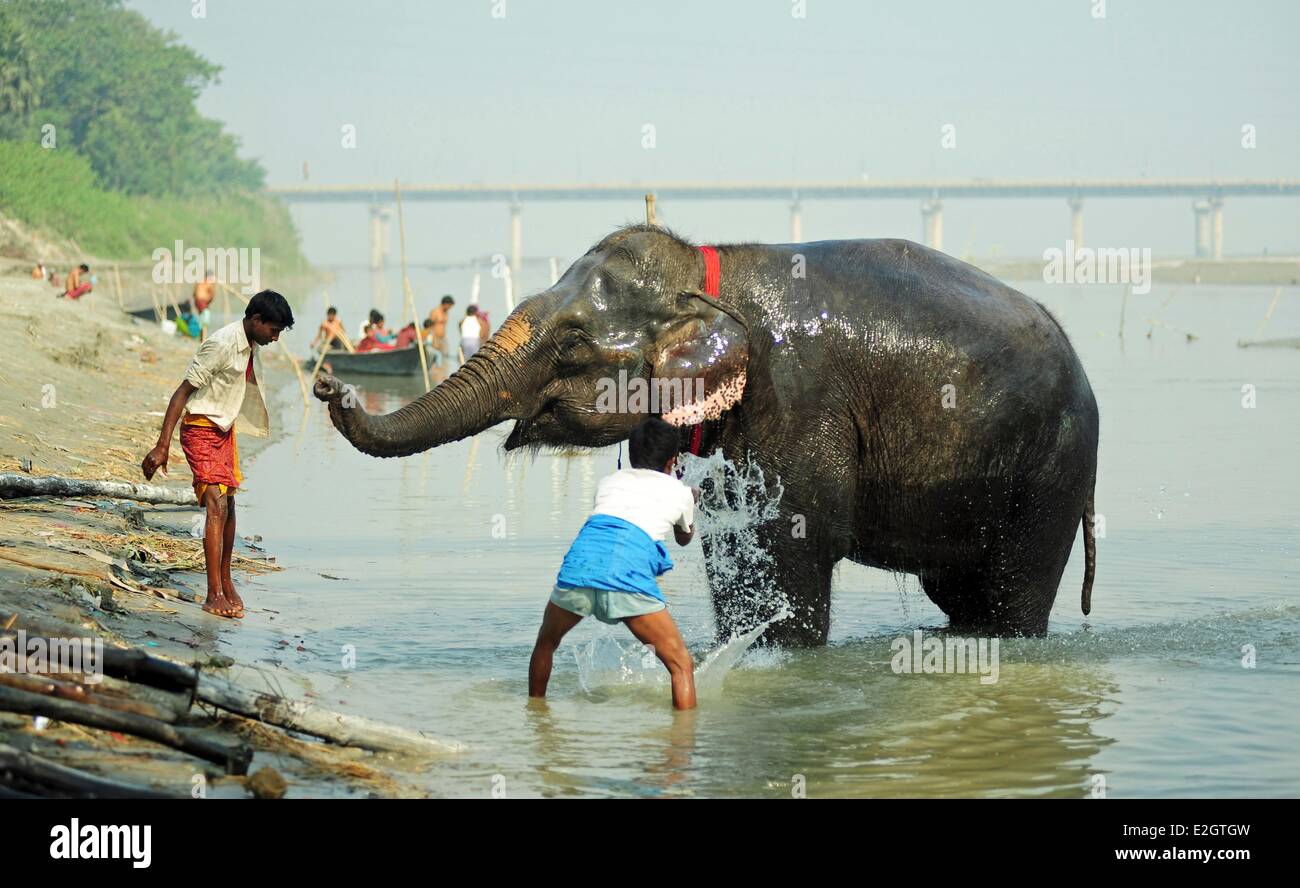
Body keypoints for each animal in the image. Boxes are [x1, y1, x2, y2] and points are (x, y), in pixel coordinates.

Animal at [314, 226, 1097, 644]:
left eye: (569, 345)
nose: (325, 384)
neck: (707, 273)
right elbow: (731, 548)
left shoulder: (801, 399)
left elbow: (795, 542)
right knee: (961, 593)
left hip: (1054, 469)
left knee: (1014, 595)